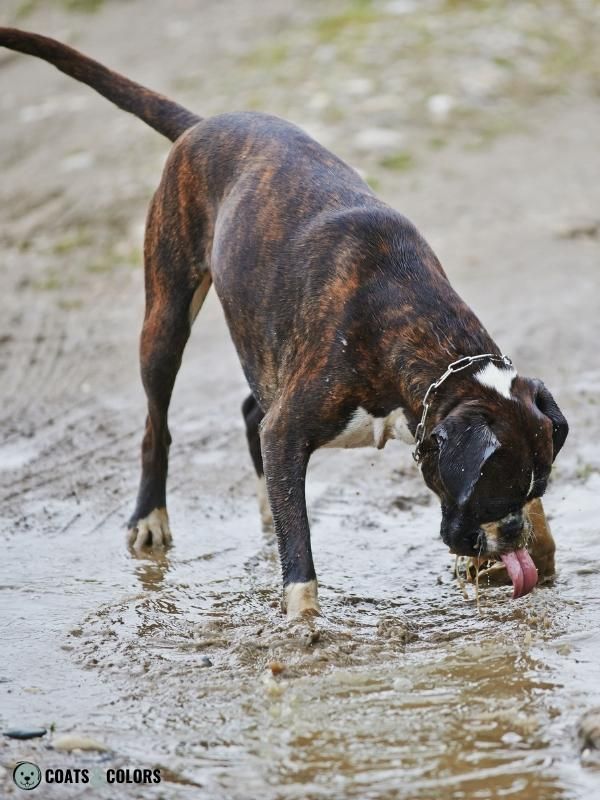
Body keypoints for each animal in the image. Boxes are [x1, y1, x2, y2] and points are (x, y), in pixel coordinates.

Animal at [1, 29, 568, 620]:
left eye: (537, 487)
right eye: (493, 492)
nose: (512, 531)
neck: (409, 329)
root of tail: (202, 124)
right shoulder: (290, 427)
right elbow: (301, 551)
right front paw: (304, 621)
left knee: (253, 416)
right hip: (166, 322)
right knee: (158, 427)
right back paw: (150, 517)